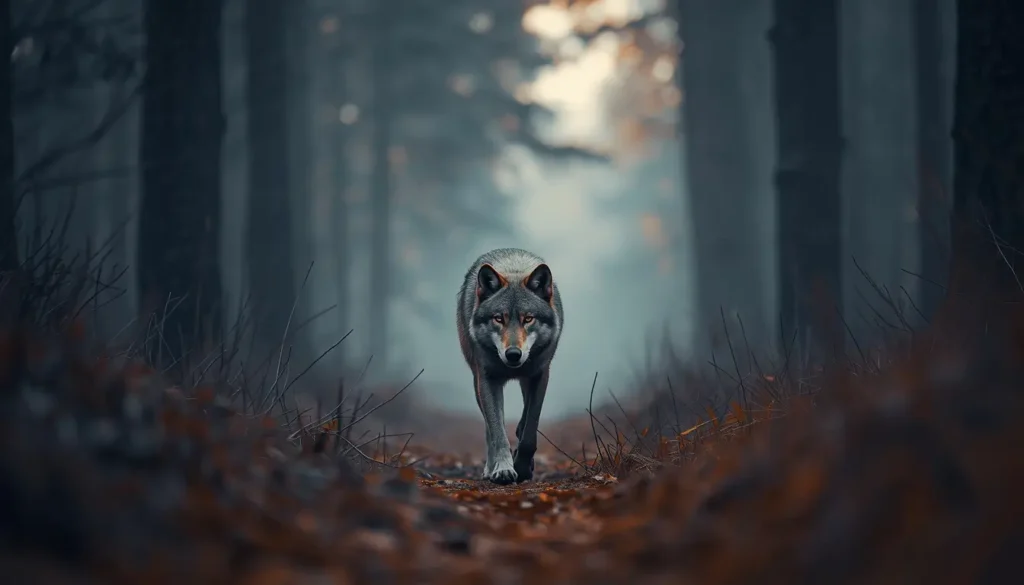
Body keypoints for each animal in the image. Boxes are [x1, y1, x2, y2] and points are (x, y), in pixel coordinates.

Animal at [456, 248, 564, 484]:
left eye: (528, 318)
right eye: (499, 319)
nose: (513, 354)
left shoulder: (540, 375)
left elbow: (530, 431)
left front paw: (522, 467)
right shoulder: (487, 380)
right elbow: (497, 432)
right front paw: (504, 469)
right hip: (478, 384)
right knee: (490, 429)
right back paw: (490, 469)